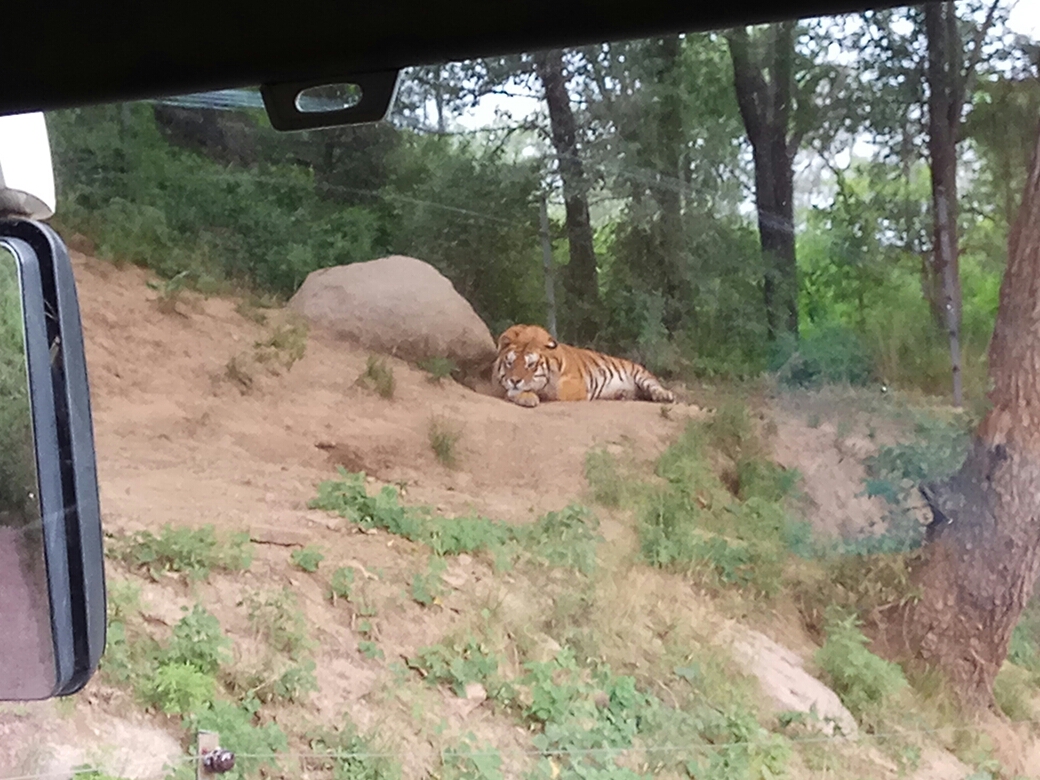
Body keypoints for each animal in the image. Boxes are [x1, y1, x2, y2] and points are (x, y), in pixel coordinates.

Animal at [492, 324, 678, 409]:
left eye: (530, 364)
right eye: (509, 363)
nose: (515, 380)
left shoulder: (574, 385)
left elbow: (550, 391)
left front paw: (524, 395)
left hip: (641, 374)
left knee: (655, 387)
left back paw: (665, 395)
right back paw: (624, 394)